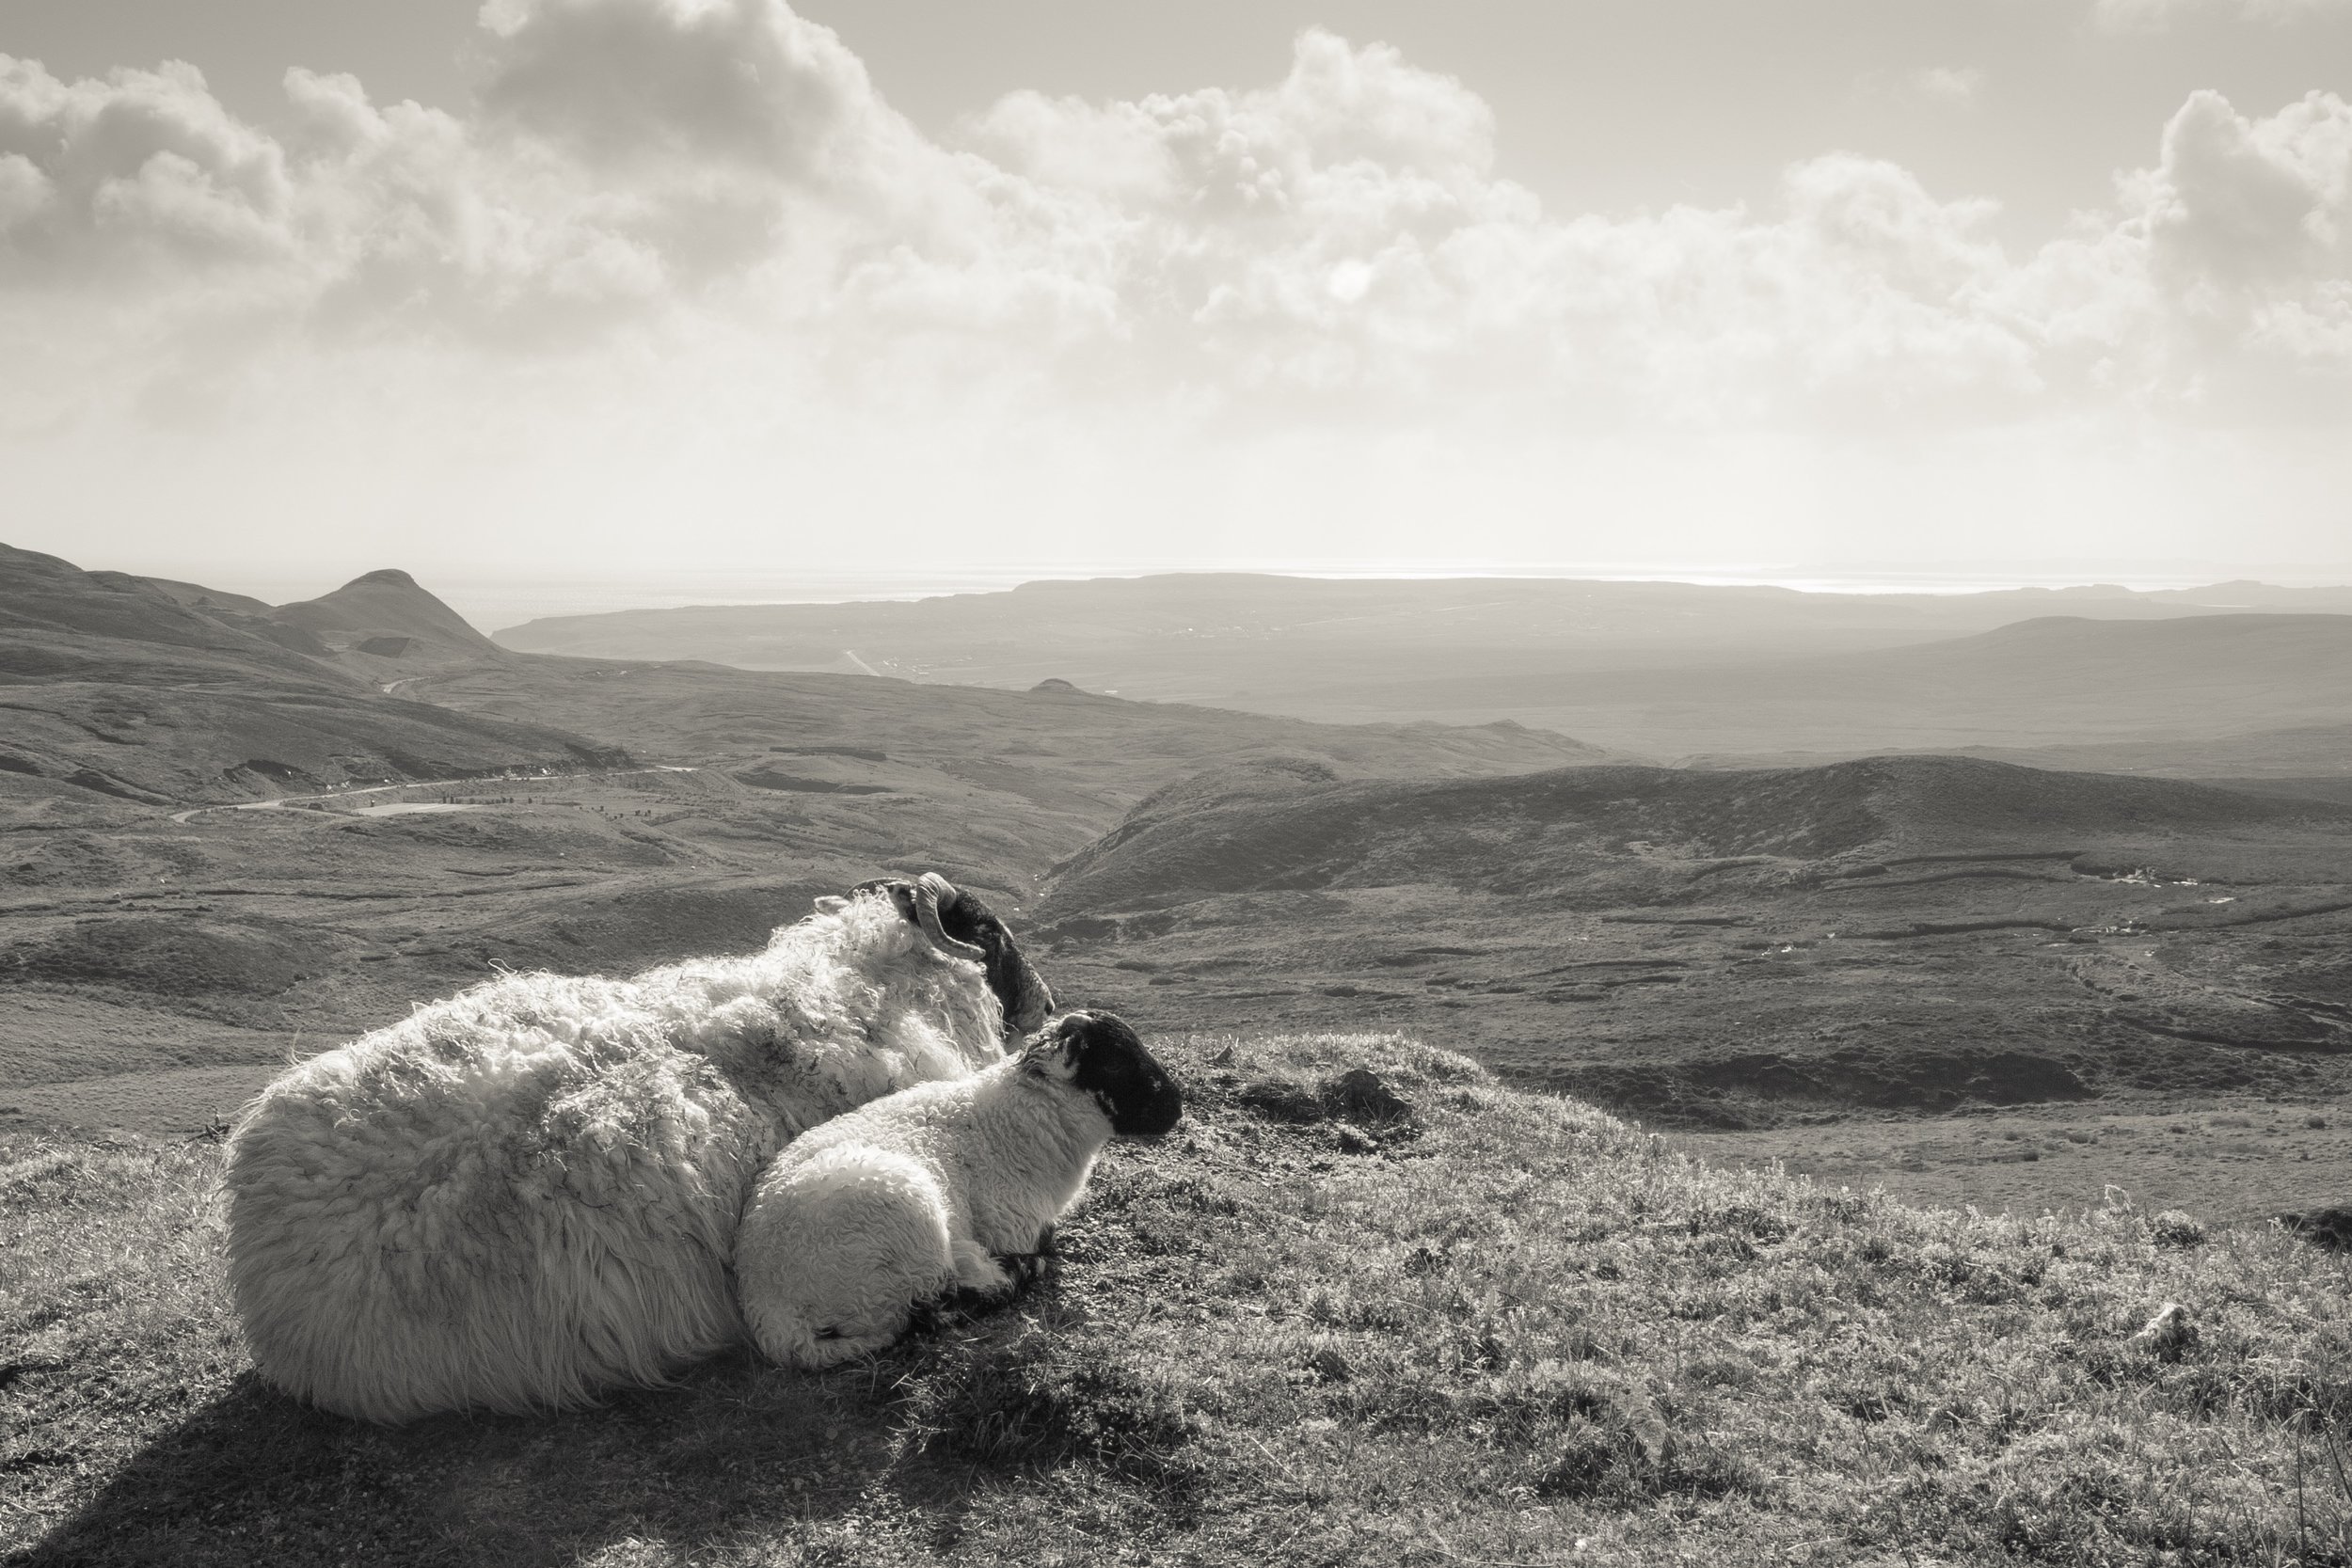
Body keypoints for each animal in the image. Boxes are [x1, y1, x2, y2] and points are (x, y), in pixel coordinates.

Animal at [734, 1010, 1185, 1363]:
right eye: (1114, 1065)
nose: (1177, 1105)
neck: (1012, 1122)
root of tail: (771, 1317)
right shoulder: (1011, 1223)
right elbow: (1042, 1243)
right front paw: (1023, 1262)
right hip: (901, 1227)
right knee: (923, 1309)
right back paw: (997, 1275)